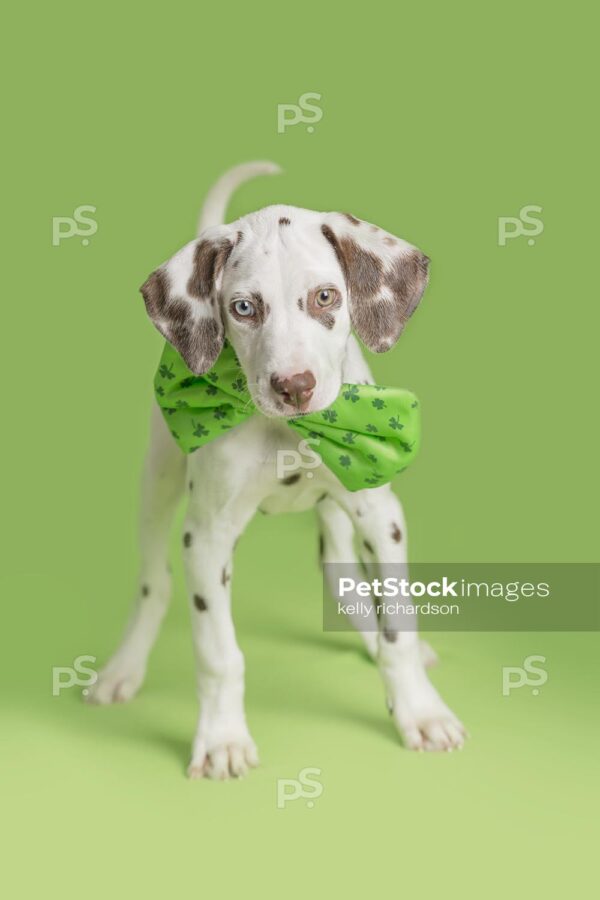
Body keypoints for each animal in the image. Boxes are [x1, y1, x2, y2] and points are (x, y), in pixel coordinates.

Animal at [88, 163, 468, 780]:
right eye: (244, 308)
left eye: (325, 297)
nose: (294, 386)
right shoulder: (206, 537)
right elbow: (219, 653)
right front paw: (222, 740)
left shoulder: (380, 513)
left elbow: (399, 629)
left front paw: (420, 712)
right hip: (158, 482)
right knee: (154, 583)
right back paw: (123, 668)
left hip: (339, 509)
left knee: (339, 575)